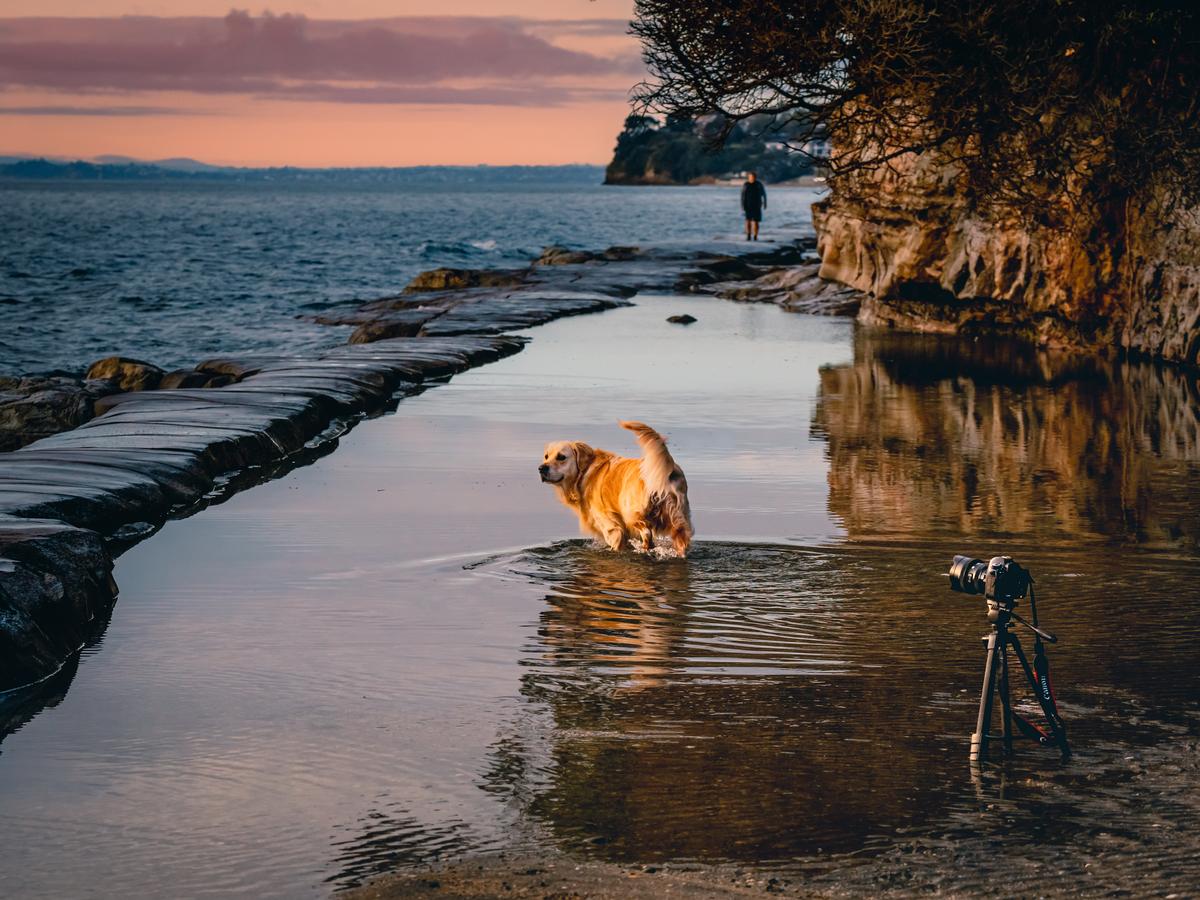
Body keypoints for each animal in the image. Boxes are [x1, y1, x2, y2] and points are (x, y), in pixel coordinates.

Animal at [542, 422, 700, 556]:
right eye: (546, 456)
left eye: (561, 457)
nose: (541, 468)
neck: (585, 471)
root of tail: (668, 469)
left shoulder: (612, 528)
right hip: (679, 519)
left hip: (632, 513)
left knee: (646, 532)